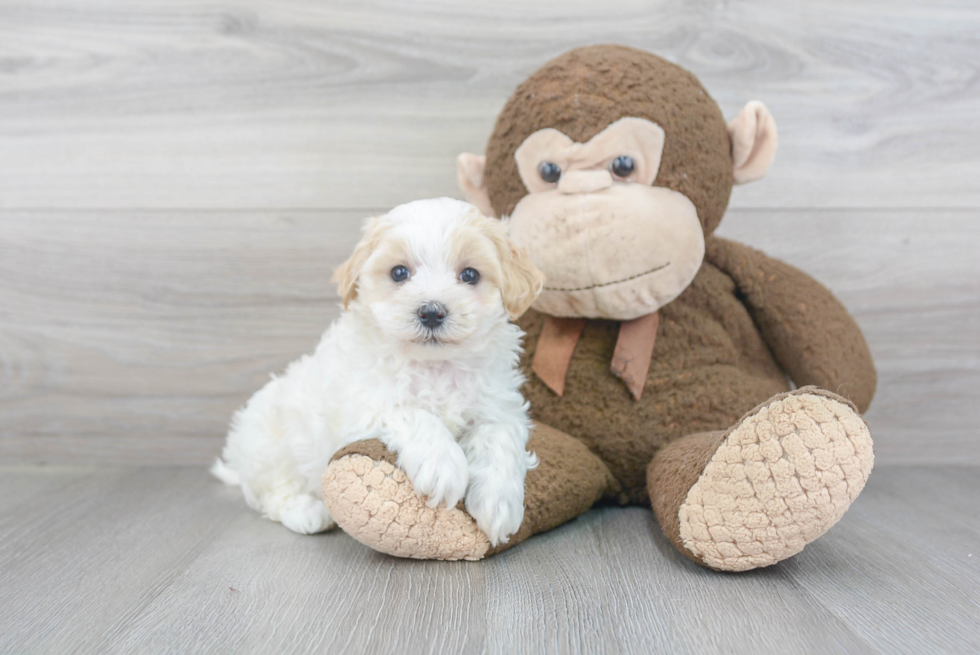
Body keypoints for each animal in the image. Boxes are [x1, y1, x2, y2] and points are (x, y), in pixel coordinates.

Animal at [212, 197, 544, 544]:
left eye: (469, 275)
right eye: (399, 273)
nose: (431, 312)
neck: (435, 366)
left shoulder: (500, 407)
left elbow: (498, 437)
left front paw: (499, 502)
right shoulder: (365, 405)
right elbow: (412, 412)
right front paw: (442, 466)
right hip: (267, 444)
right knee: (273, 492)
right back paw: (306, 511)